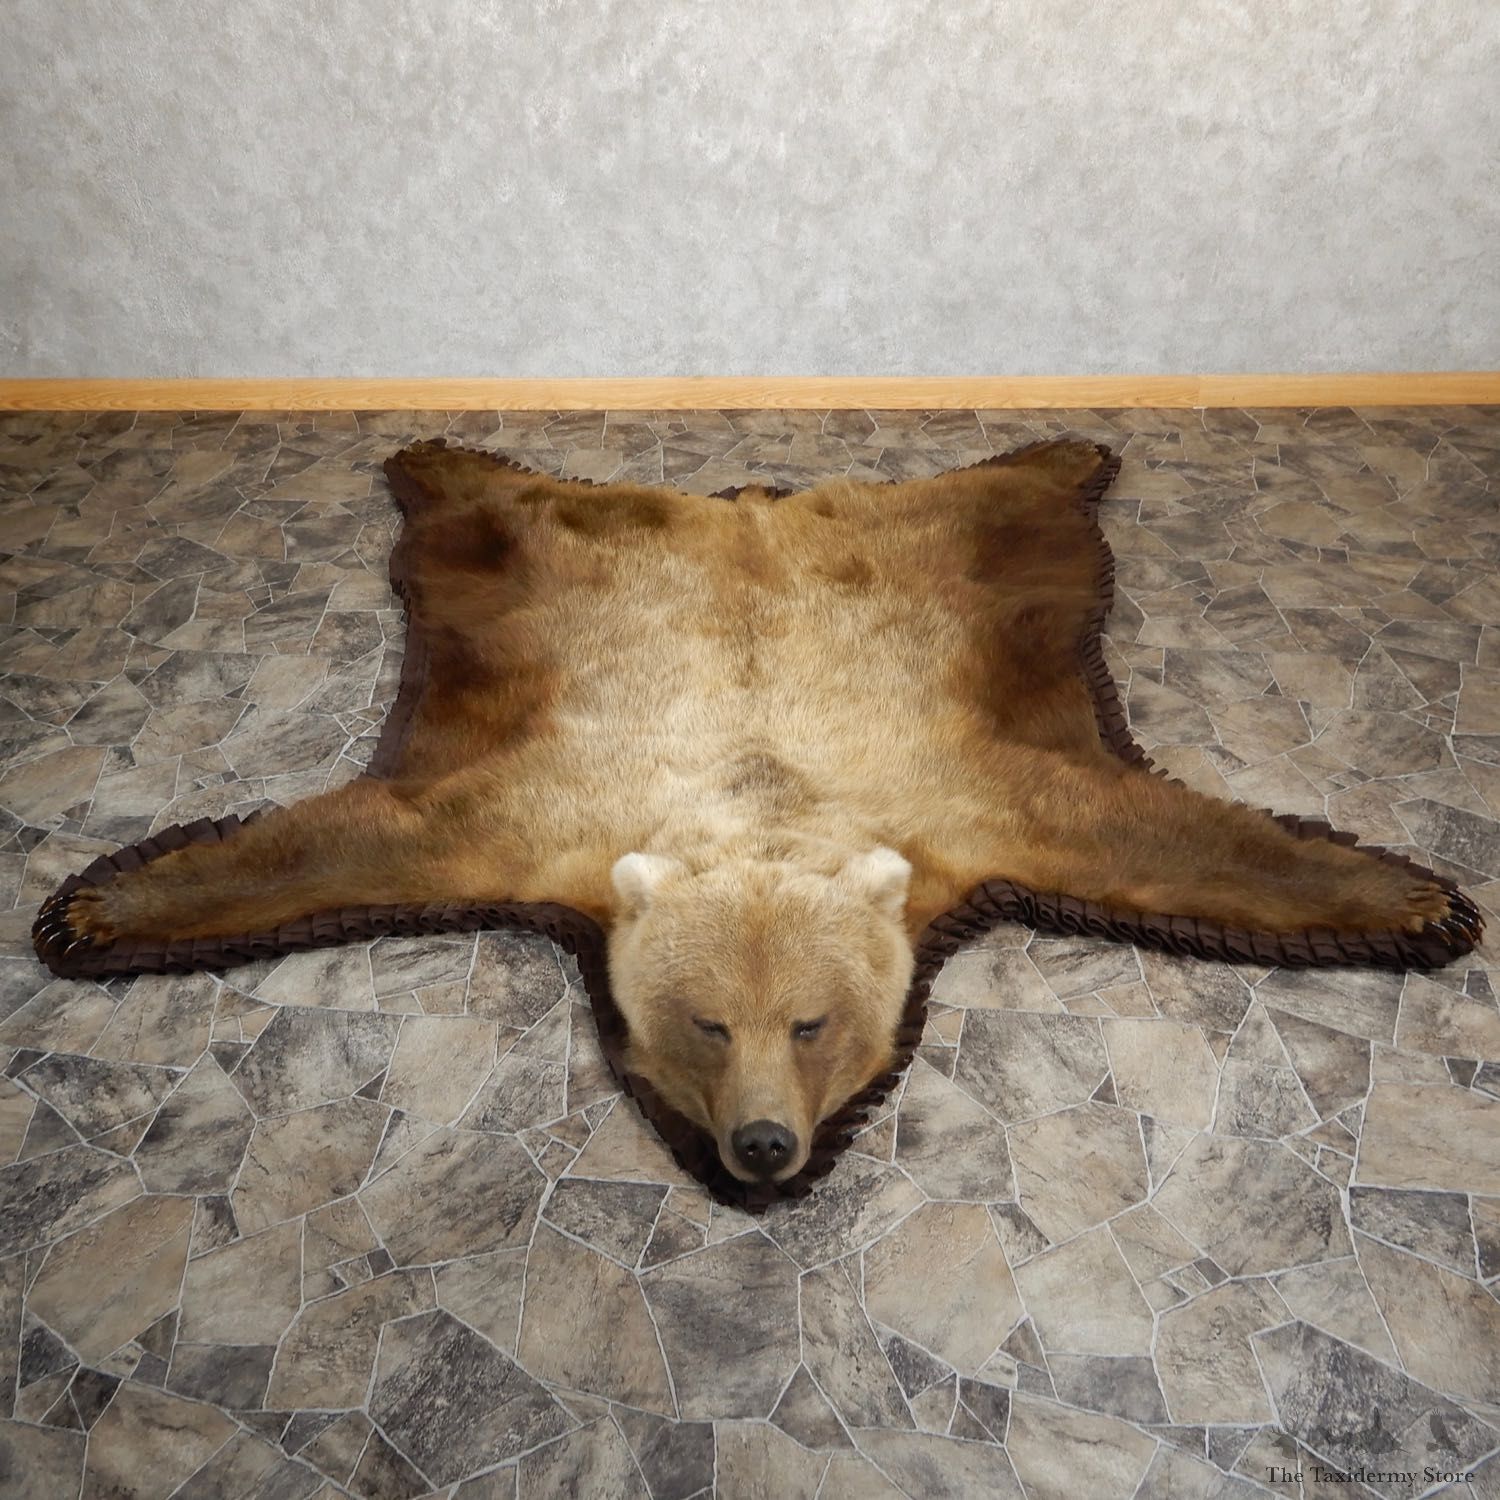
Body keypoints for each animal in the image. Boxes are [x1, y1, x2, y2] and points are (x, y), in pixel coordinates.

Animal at [36, 436, 1484, 1186]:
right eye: (706, 1024)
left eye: (812, 1022)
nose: (764, 1145)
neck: (760, 803)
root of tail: (751, 502)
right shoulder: (518, 811)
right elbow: (345, 843)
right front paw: (104, 903)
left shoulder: (991, 799)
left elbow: (1169, 839)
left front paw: (1408, 895)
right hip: (529, 551)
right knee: (496, 495)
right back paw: (440, 449)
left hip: (969, 543)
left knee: (1001, 484)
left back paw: (1061, 443)